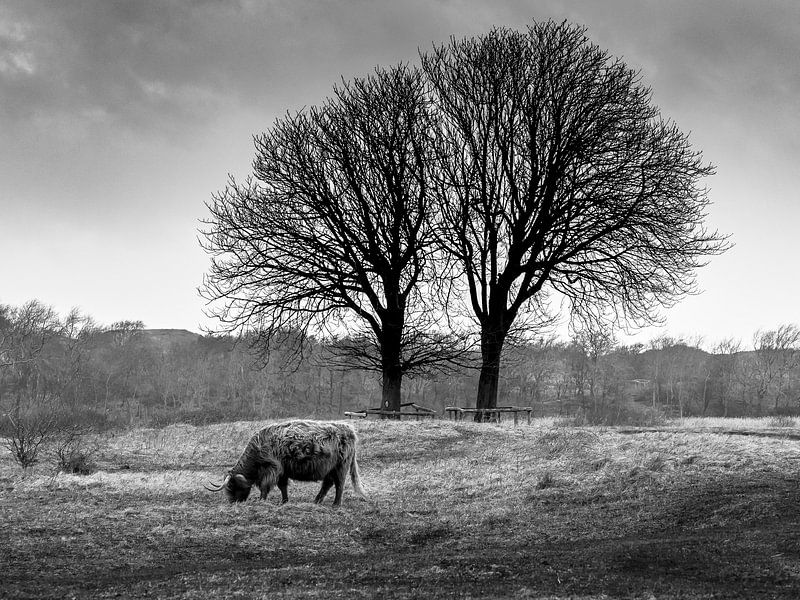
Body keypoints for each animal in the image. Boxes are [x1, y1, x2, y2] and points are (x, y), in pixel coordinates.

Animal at [206, 422, 368, 506]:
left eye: (231, 486)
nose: (232, 502)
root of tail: (349, 430)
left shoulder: (272, 468)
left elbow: (265, 486)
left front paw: (262, 500)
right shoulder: (283, 471)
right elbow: (282, 486)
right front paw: (284, 501)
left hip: (341, 466)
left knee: (339, 484)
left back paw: (336, 504)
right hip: (329, 468)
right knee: (328, 484)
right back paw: (316, 501)